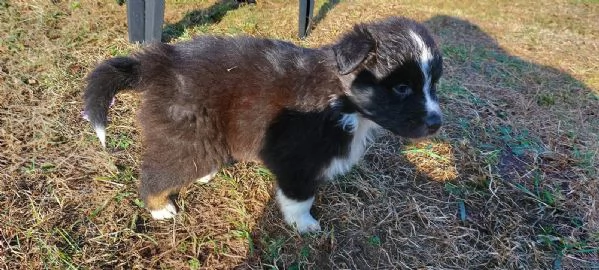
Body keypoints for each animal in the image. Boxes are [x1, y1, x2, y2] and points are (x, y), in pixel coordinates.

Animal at [83, 15, 440, 233]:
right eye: (402, 88)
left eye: (434, 85)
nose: (437, 123)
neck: (340, 96)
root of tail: (160, 62)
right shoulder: (298, 158)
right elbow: (300, 197)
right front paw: (304, 224)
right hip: (187, 132)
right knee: (159, 169)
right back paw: (159, 207)